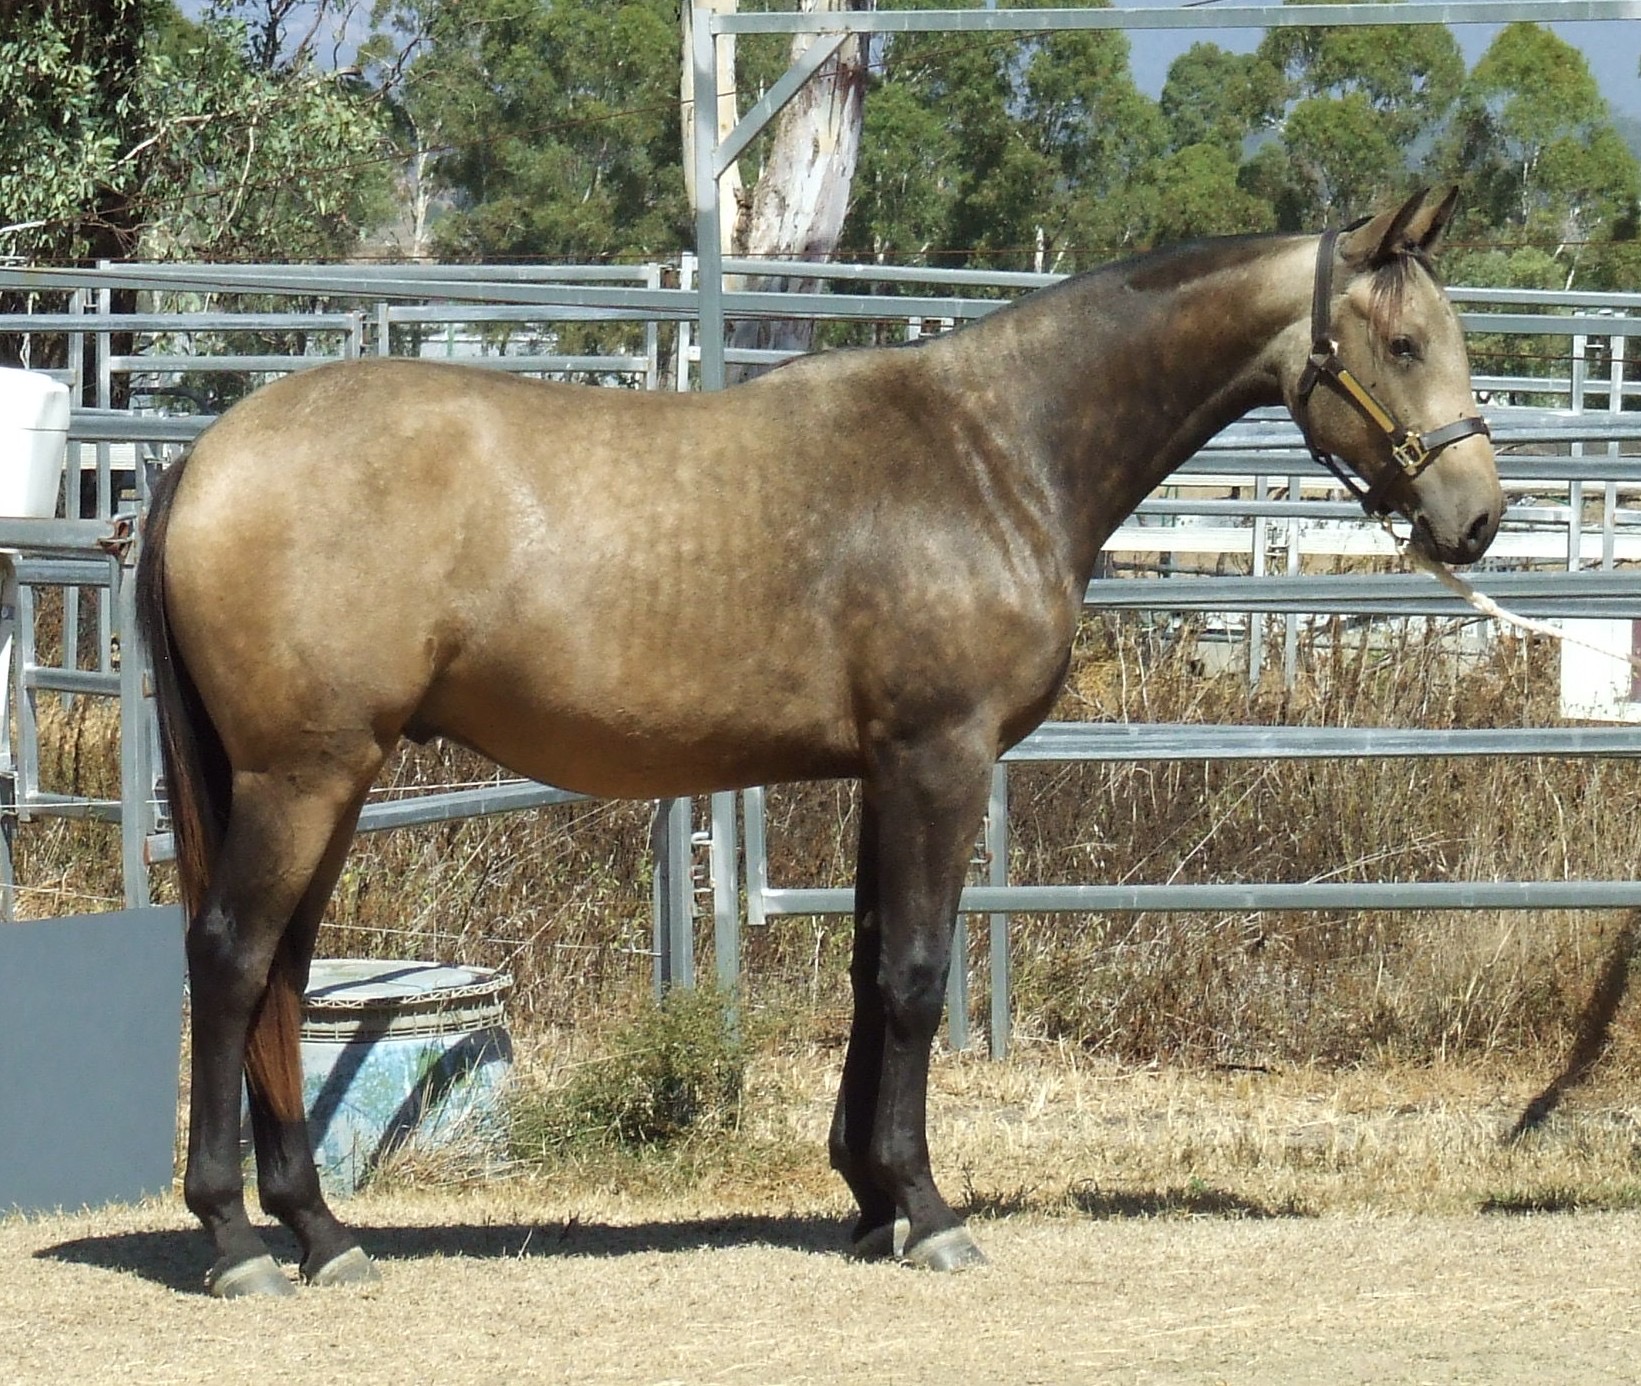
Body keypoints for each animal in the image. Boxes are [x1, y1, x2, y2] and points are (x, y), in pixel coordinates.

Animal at [135, 187, 1501, 1297]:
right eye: (1403, 343)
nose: (1476, 518)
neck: (994, 449)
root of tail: (205, 459)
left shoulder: (883, 774)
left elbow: (866, 969)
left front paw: (867, 1198)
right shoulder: (941, 760)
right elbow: (916, 978)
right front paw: (928, 1212)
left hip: (329, 781)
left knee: (284, 977)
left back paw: (321, 1233)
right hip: (303, 777)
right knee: (230, 961)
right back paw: (239, 1241)